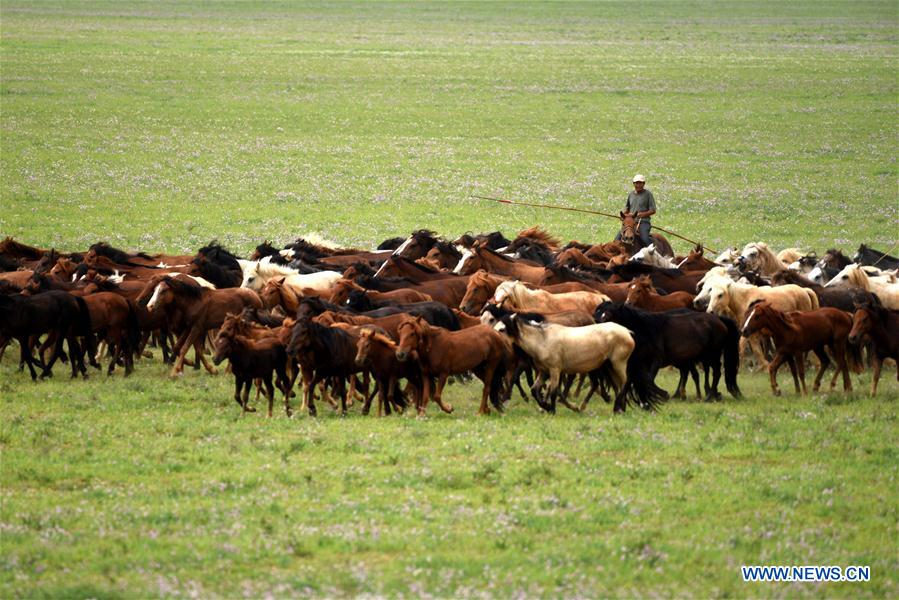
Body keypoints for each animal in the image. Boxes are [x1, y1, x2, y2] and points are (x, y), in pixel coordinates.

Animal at [496, 312, 636, 414]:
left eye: (502, 329)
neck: (542, 340)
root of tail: (627, 332)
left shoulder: (555, 370)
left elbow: (553, 391)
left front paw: (551, 410)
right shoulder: (544, 372)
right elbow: (535, 390)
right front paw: (545, 406)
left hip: (618, 364)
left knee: (625, 382)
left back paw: (615, 407)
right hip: (607, 366)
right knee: (613, 385)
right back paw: (617, 408)